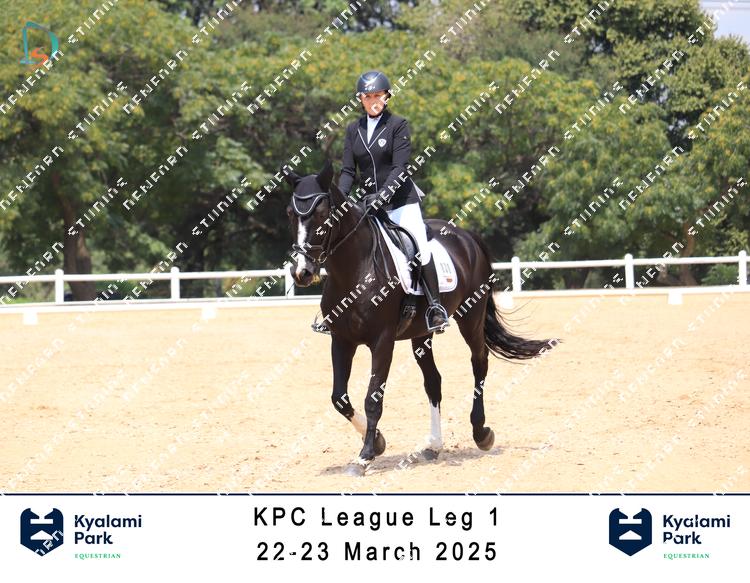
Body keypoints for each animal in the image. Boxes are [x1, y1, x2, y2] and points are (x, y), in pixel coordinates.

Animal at [284, 160, 556, 475]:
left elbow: (373, 398)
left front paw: (365, 455)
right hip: (420, 334)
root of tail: (466, 236)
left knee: (479, 363)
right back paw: (433, 446)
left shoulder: (382, 341)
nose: (302, 272)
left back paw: (481, 433)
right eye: (291, 214)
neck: (356, 269)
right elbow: (339, 397)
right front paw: (378, 442)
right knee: (434, 381)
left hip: (471, 318)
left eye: (322, 214)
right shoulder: (341, 340)